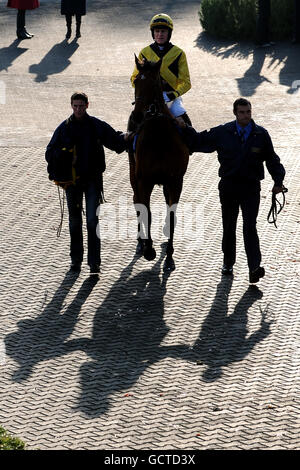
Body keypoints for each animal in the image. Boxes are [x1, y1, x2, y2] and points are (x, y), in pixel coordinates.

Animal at [129, 56, 190, 270]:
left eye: (154, 83)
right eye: (136, 81)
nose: (137, 116)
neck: (159, 138)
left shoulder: (175, 180)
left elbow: (171, 215)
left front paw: (170, 256)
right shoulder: (144, 180)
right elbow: (145, 211)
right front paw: (149, 249)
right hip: (133, 173)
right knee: (136, 201)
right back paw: (141, 242)